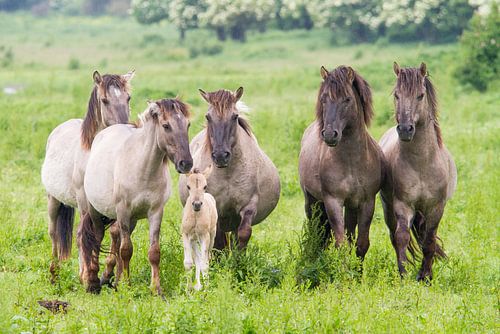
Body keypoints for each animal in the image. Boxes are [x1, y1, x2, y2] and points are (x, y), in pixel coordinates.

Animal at [41, 70, 134, 282]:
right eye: (104, 100)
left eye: (128, 98)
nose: (124, 130)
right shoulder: (87, 202)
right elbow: (87, 234)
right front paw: (90, 275)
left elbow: (115, 233)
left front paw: (113, 275)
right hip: (54, 199)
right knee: (54, 233)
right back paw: (55, 273)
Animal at [81, 98, 192, 294]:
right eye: (166, 125)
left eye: (187, 124)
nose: (186, 163)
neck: (143, 169)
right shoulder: (123, 211)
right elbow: (126, 250)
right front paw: (127, 285)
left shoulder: (155, 212)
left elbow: (154, 252)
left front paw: (156, 289)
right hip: (96, 212)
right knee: (98, 238)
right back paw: (94, 282)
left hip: (130, 220)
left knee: (116, 238)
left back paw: (114, 280)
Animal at [180, 87, 282, 249]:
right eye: (208, 117)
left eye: (235, 116)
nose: (221, 156)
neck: (227, 173)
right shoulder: (217, 210)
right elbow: (218, 241)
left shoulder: (248, 206)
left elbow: (243, 234)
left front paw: (239, 256)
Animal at [298, 65, 384, 258]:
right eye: (323, 99)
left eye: (347, 99)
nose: (330, 134)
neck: (352, 161)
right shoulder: (333, 201)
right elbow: (341, 244)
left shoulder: (367, 202)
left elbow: (361, 244)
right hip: (312, 202)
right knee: (316, 231)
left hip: (351, 206)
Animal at [378, 63, 458, 282]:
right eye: (397, 95)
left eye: (420, 96)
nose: (405, 129)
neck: (422, 163)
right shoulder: (403, 205)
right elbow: (402, 237)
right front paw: (404, 274)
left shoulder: (436, 207)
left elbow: (429, 241)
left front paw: (426, 276)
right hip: (388, 207)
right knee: (394, 235)